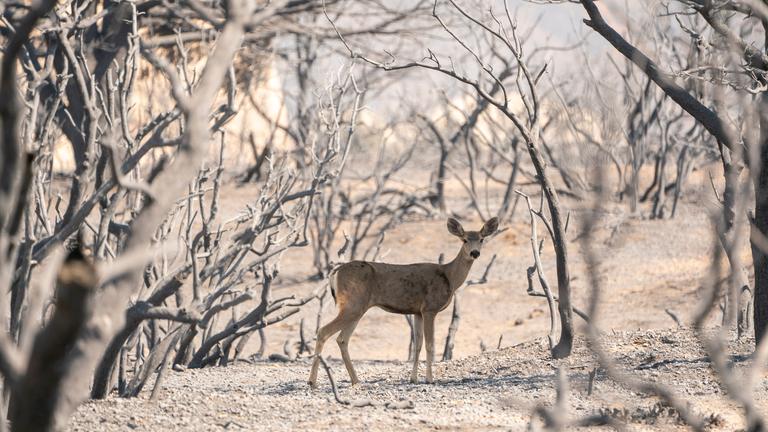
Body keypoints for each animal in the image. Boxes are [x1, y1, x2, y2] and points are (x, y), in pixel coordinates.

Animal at [308, 216, 499, 388]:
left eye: (481, 239)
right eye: (464, 239)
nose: (475, 253)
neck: (449, 277)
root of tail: (335, 272)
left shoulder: (417, 312)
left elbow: (418, 345)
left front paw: (413, 379)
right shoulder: (430, 308)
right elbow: (430, 344)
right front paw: (430, 379)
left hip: (357, 308)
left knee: (342, 339)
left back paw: (356, 381)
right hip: (353, 304)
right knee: (323, 331)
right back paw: (312, 381)